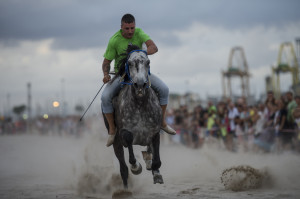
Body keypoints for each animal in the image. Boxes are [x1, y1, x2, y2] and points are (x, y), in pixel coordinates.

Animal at [103, 44, 164, 188]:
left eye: (148, 62)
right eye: (129, 63)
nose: (140, 85)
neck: (140, 104)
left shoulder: (154, 130)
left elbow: (156, 158)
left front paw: (156, 172)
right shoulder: (124, 131)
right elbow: (128, 138)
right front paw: (136, 167)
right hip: (115, 140)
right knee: (123, 168)